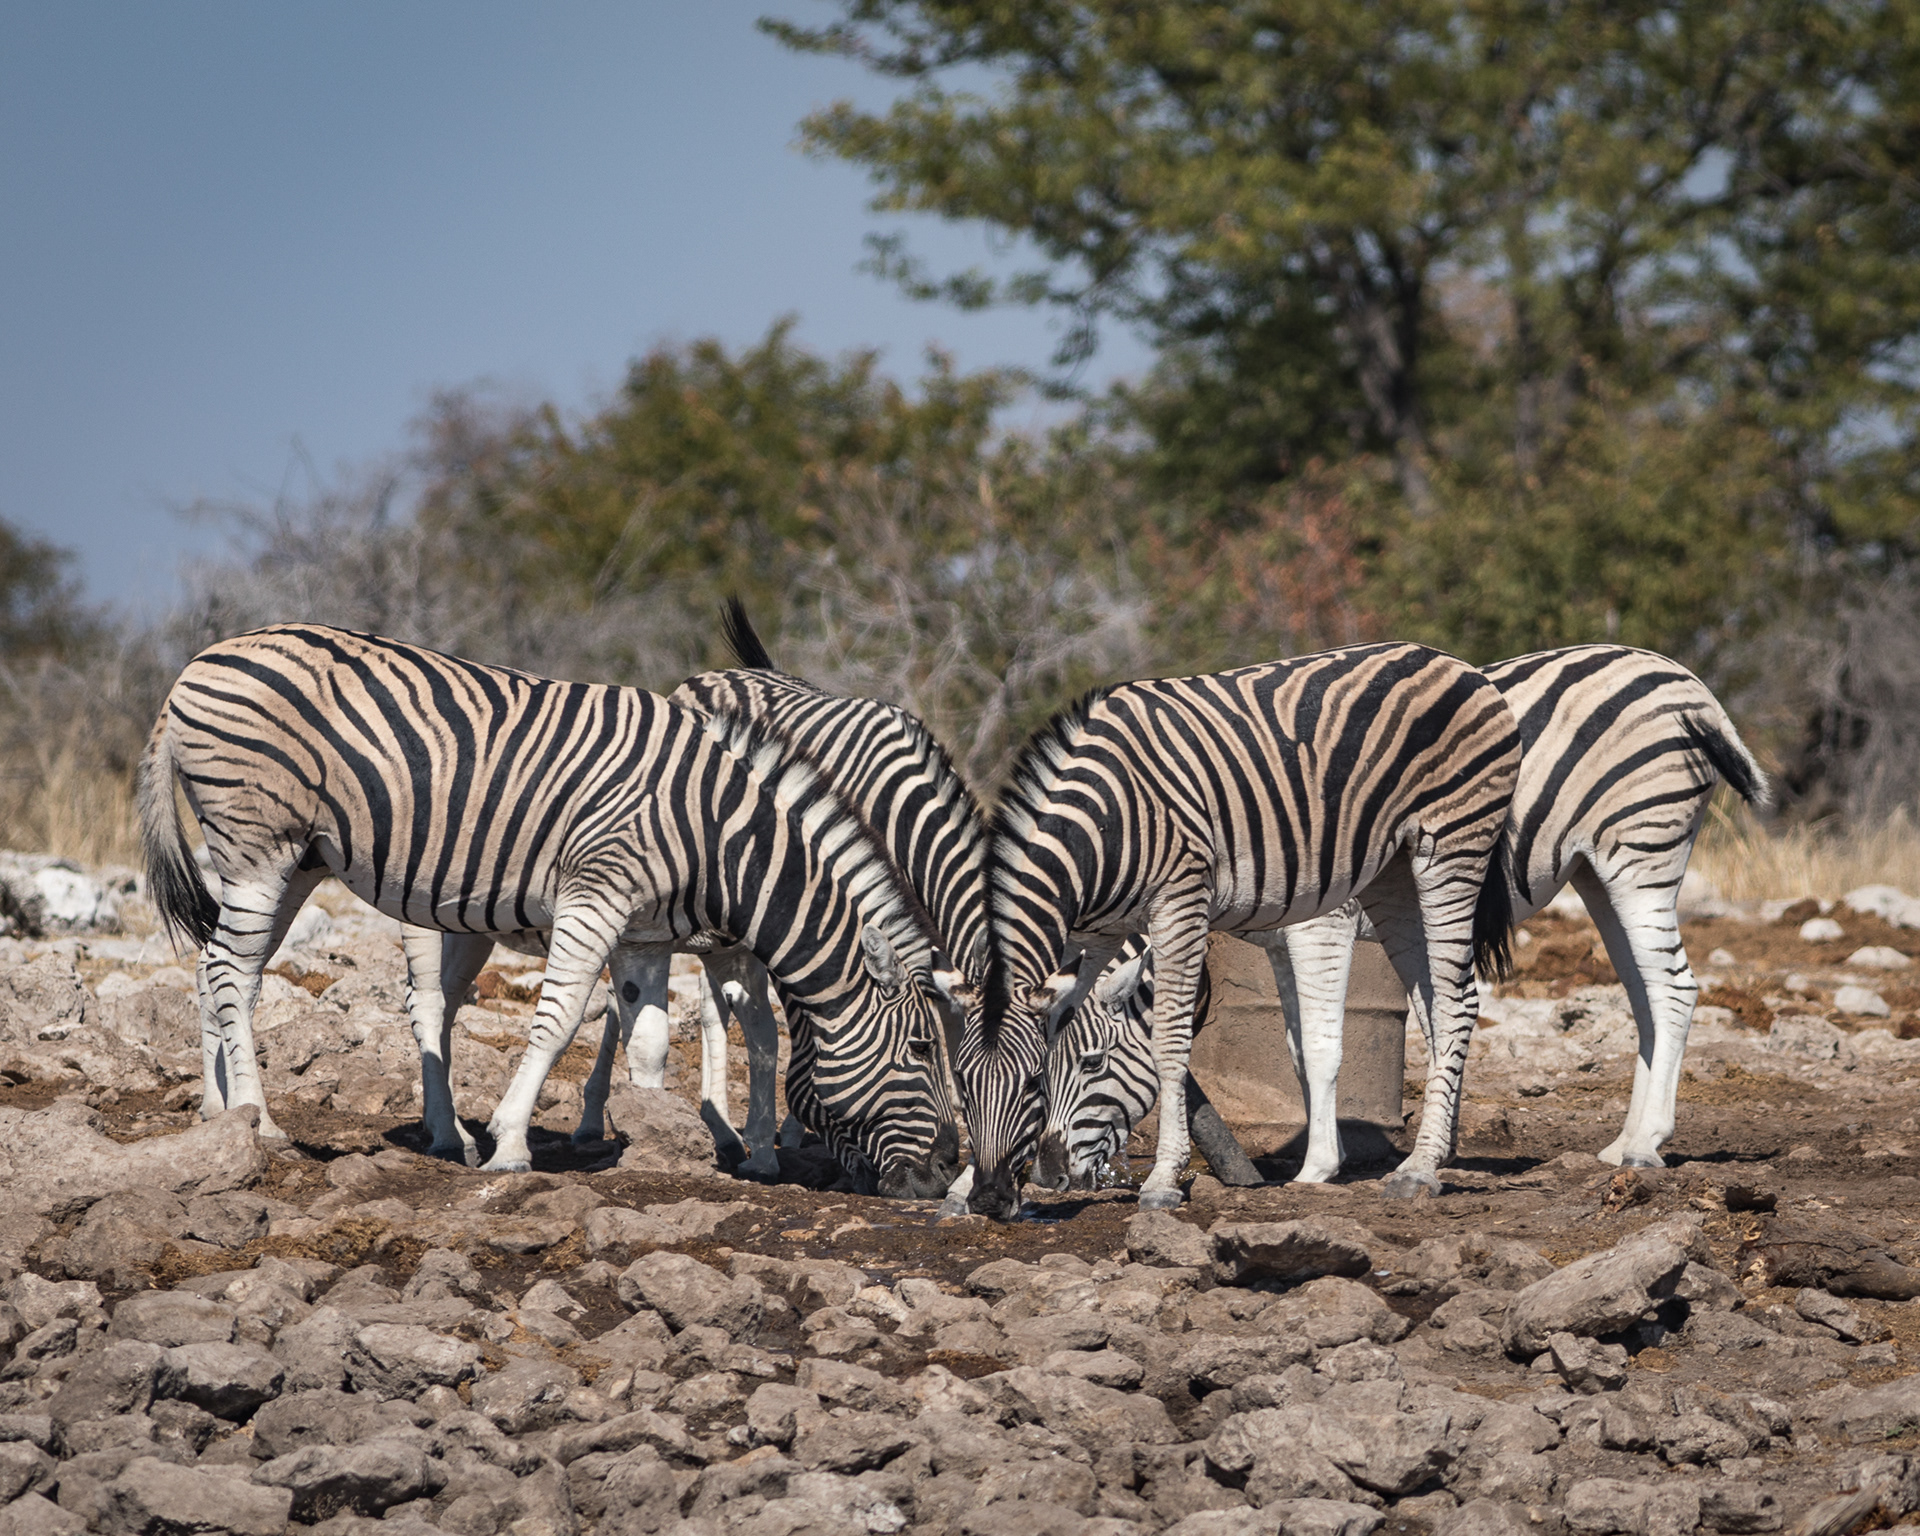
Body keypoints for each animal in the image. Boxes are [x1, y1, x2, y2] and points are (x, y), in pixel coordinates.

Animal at [139, 623, 963, 1193]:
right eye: (924, 1051)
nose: (941, 1176)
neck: (716, 831)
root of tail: (203, 658)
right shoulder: (598, 894)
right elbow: (564, 1017)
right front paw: (512, 1145)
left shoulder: (645, 931)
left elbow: (649, 1037)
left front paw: (658, 1139)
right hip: (261, 846)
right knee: (246, 974)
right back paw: (264, 1121)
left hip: (298, 860)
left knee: (217, 967)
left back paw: (220, 1116)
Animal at [964, 642, 1523, 1218]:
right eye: (962, 1084)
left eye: (1091, 1064)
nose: (997, 1196)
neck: (1105, 824)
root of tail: (1448, 659)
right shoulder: (1094, 935)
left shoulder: (1181, 903)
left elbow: (1171, 1044)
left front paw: (1163, 1180)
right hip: (1393, 879)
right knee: (1434, 1004)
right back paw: (1433, 1154)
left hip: (1453, 846)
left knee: (1458, 1003)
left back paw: (1419, 1170)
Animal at [1033, 645, 1771, 1190]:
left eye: (1093, 1063)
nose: (1047, 1175)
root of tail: (1685, 682)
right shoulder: (1279, 944)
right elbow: (1299, 1050)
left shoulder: (1322, 924)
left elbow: (1325, 1047)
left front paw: (1318, 1169)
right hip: (1596, 872)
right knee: (1647, 997)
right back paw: (1624, 1143)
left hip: (1641, 853)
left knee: (1674, 989)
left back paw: (1647, 1145)